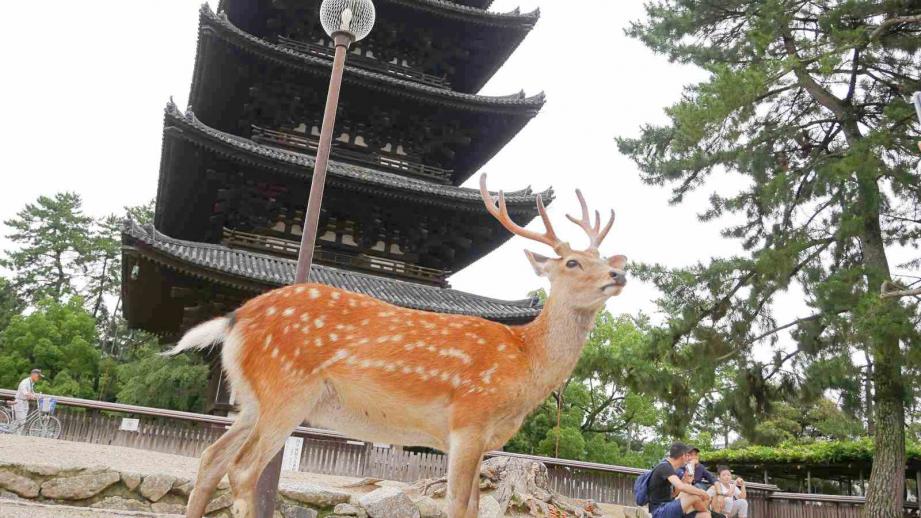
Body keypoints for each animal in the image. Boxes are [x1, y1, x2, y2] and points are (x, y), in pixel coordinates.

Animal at [167, 176, 624, 518]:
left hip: (251, 400)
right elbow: (458, 506)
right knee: (243, 470)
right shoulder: (469, 418)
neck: (524, 361)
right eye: (572, 262)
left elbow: (476, 507)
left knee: (210, 459)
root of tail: (236, 318)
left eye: (603, 259)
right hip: (287, 390)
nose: (619, 274)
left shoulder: (478, 439)